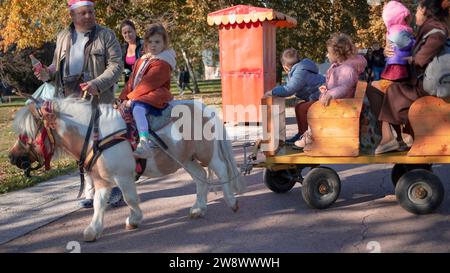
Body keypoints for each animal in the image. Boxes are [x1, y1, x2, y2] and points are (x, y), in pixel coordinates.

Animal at [8, 98, 246, 240]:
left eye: (27, 133)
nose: (11, 157)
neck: (96, 135)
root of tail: (203, 108)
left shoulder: (123, 177)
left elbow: (130, 198)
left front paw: (134, 220)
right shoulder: (102, 181)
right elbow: (98, 204)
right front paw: (93, 229)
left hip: (207, 154)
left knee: (221, 170)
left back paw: (232, 202)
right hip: (186, 159)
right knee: (200, 177)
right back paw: (198, 208)